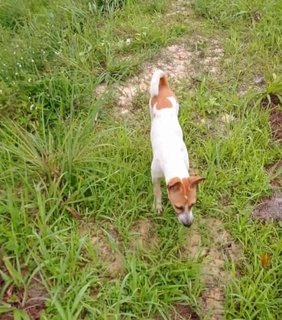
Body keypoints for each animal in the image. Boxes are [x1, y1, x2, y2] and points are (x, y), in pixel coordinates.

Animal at [149, 69, 204, 226]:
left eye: (192, 204)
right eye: (178, 207)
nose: (188, 224)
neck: (173, 158)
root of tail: (162, 86)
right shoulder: (155, 176)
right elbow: (157, 192)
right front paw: (158, 206)